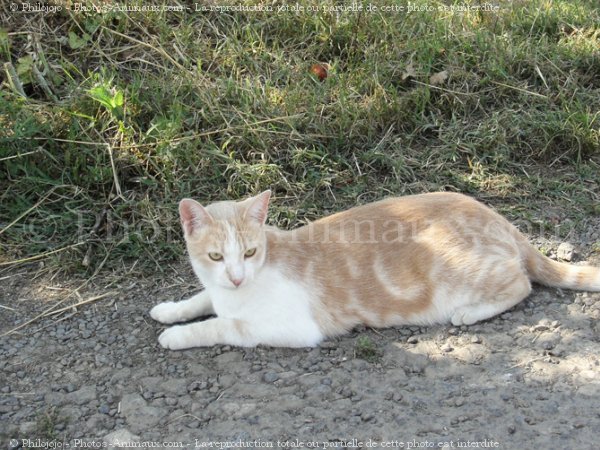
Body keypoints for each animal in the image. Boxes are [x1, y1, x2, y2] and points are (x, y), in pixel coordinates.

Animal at [151, 189, 600, 348]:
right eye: (216, 257)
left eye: (249, 252)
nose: (236, 276)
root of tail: (500, 219)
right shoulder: (216, 289)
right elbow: (201, 298)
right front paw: (170, 310)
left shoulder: (291, 328)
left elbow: (222, 325)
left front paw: (178, 335)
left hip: (466, 273)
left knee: (521, 284)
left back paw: (470, 313)